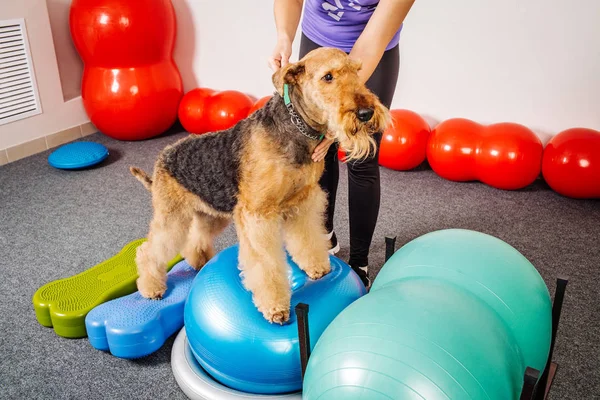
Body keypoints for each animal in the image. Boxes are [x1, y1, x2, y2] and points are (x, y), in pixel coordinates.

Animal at [129, 47, 392, 324]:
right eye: (328, 76)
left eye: (357, 71)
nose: (366, 113)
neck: (295, 128)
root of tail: (162, 159)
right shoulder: (258, 214)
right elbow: (266, 263)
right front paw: (275, 308)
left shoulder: (302, 202)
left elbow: (307, 240)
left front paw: (317, 267)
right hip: (173, 218)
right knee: (149, 250)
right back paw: (151, 288)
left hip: (210, 214)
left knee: (195, 240)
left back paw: (199, 262)